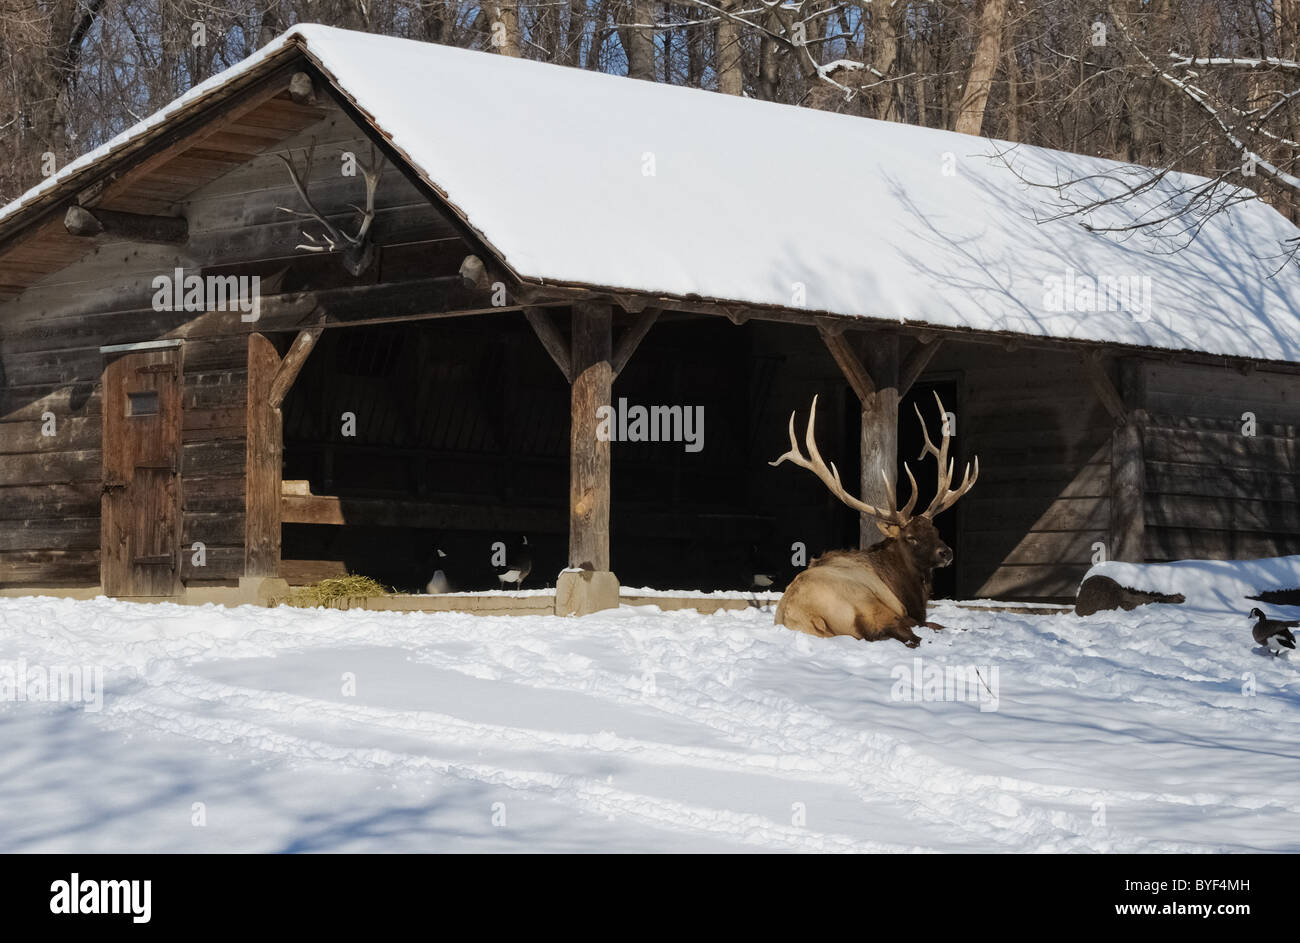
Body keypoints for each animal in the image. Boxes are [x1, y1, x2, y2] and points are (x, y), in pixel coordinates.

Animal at [769, 392, 977, 647]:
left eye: (935, 530)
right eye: (911, 538)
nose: (946, 552)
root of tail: (805, 617)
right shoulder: (905, 611)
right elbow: (932, 623)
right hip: (869, 605)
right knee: (909, 636)